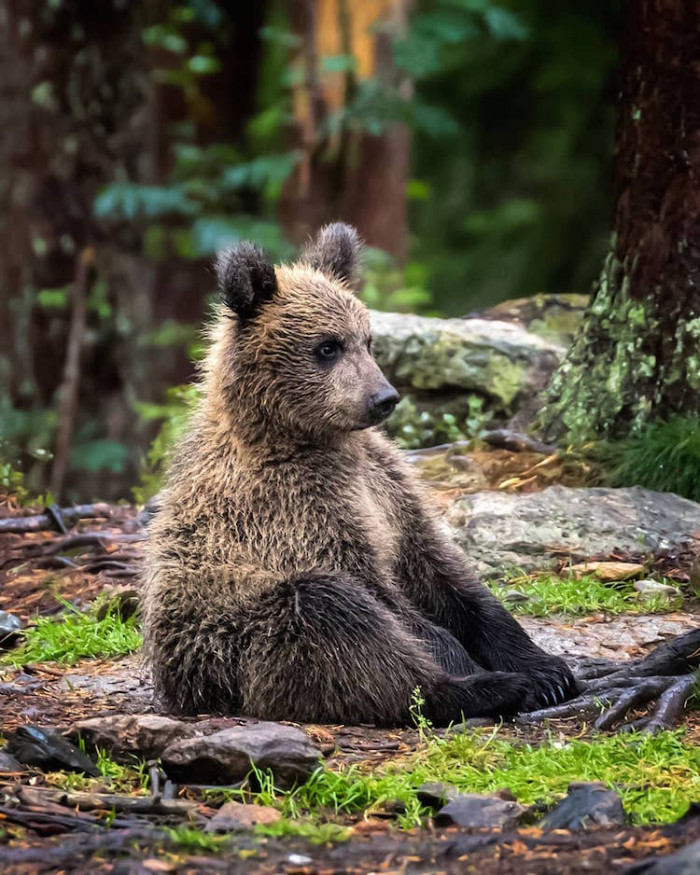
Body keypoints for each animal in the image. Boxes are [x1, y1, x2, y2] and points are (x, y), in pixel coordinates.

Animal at [141, 223, 578, 726]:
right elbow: (383, 599)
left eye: (367, 340)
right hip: (232, 641)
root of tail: (183, 689)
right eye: (327, 346)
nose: (384, 397)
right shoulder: (289, 508)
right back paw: (485, 689)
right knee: (330, 613)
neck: (309, 438)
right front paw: (488, 670)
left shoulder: (388, 485)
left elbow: (446, 573)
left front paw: (548, 668)